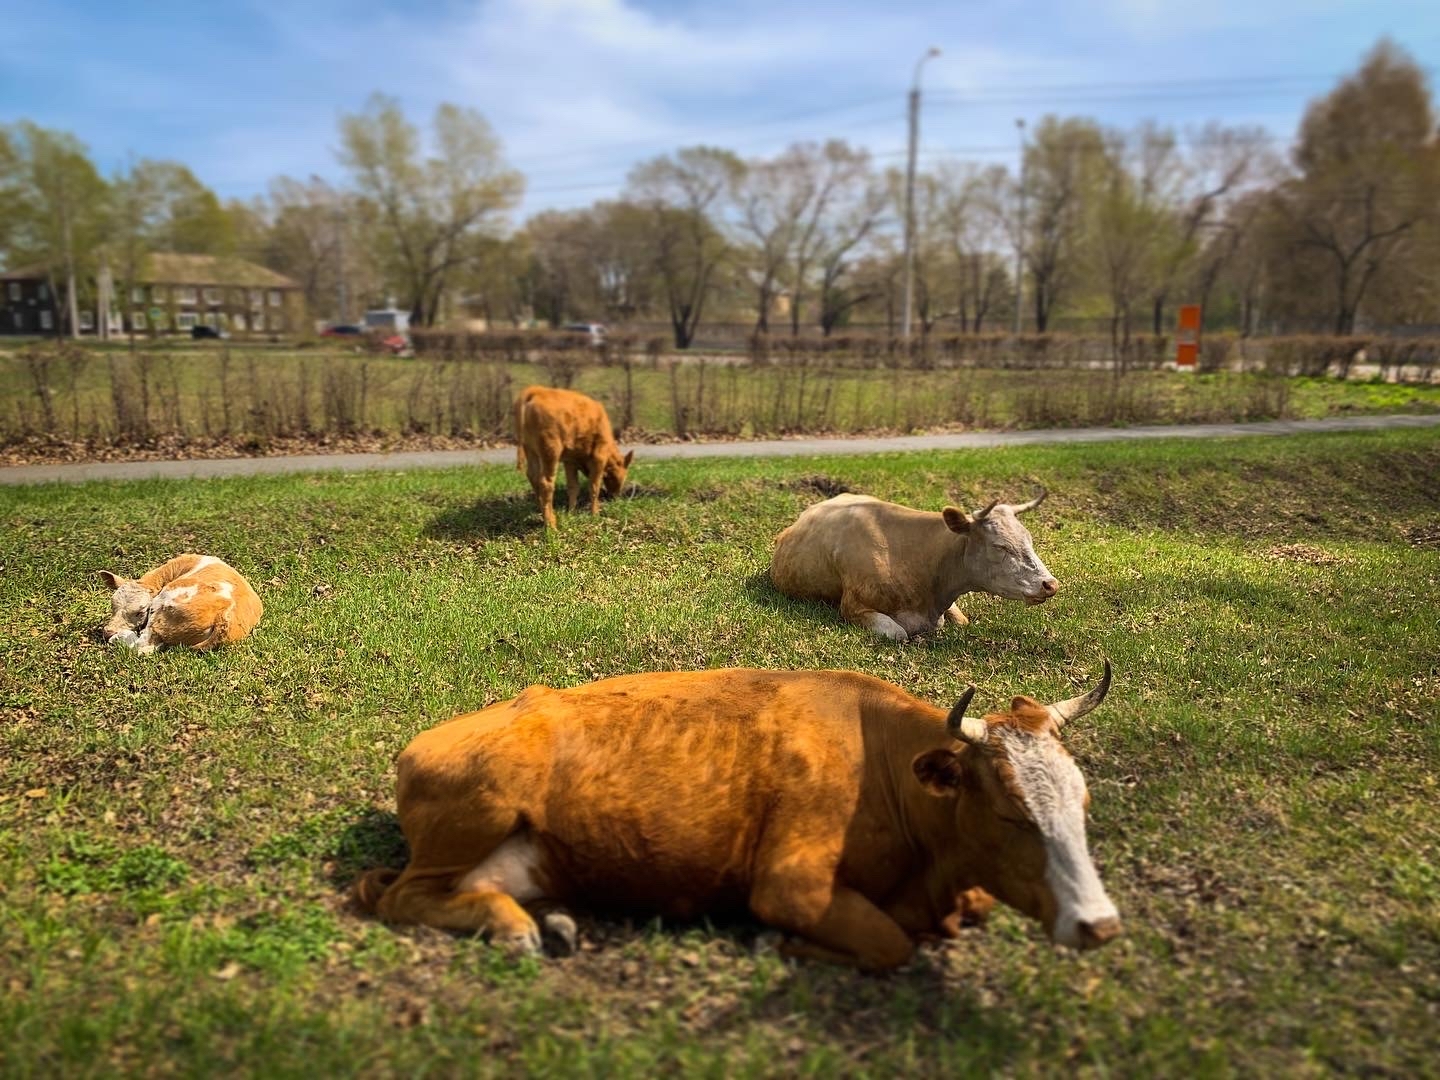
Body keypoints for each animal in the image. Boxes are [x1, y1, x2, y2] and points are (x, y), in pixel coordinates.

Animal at [99, 552, 264, 656]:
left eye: (140, 612)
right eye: (112, 606)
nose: (108, 632)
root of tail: (223, 614)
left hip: (164, 604)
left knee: (143, 646)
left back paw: (119, 638)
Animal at [354, 665, 1117, 967]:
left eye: (1082, 803)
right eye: (1012, 815)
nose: (1100, 925)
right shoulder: (789, 885)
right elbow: (890, 945)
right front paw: (782, 945)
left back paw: (552, 921)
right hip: (480, 812)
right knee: (398, 897)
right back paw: (516, 931)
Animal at [515, 385, 633, 529]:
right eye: (624, 473)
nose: (616, 497)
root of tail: (536, 390)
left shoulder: (569, 461)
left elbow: (573, 487)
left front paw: (571, 512)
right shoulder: (599, 457)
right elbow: (594, 486)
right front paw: (595, 514)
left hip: (530, 449)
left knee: (533, 476)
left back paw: (544, 514)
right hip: (551, 450)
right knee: (545, 482)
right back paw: (551, 524)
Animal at [771, 489, 1065, 642]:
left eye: (1028, 538)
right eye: (1000, 546)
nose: (1050, 584)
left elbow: (960, 621)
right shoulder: (854, 606)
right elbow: (898, 633)